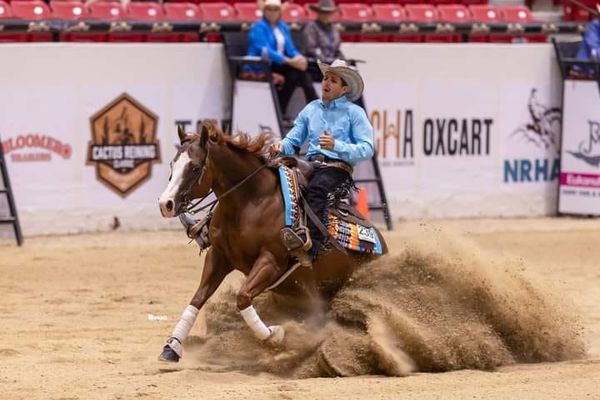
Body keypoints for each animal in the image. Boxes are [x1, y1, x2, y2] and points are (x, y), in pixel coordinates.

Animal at [157, 121, 386, 362]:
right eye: (173, 163)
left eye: (193, 167)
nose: (166, 204)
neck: (251, 201)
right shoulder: (218, 256)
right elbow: (198, 298)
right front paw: (172, 346)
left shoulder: (271, 261)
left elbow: (243, 297)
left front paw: (275, 335)